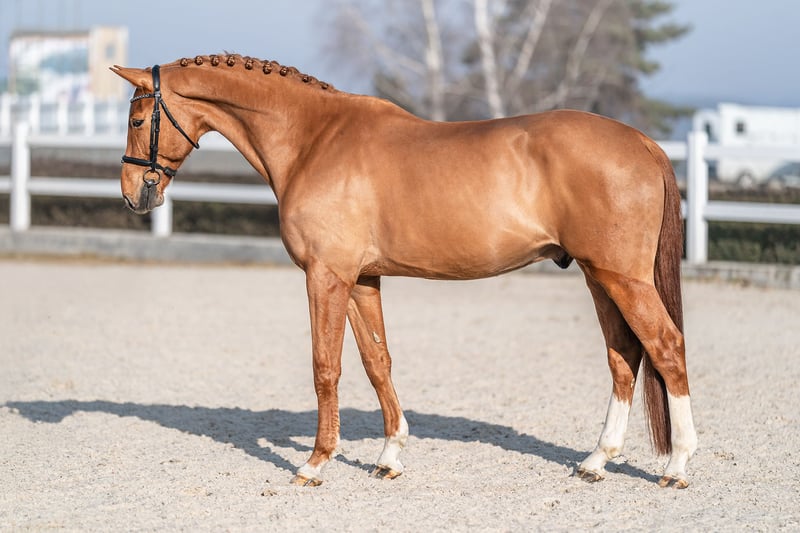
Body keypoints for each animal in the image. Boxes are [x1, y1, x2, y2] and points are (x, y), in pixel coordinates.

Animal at [112, 55, 697, 489]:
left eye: (138, 120)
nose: (134, 194)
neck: (313, 139)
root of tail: (642, 142)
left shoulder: (325, 276)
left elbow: (326, 367)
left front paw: (315, 463)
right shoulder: (361, 280)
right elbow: (378, 362)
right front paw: (390, 456)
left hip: (622, 278)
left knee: (666, 347)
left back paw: (676, 465)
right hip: (599, 277)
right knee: (624, 357)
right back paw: (597, 461)